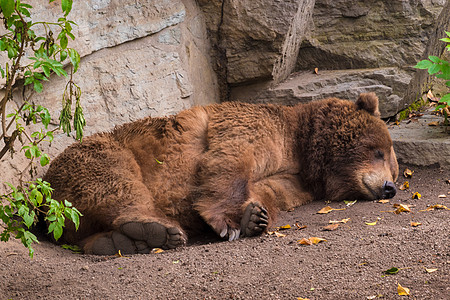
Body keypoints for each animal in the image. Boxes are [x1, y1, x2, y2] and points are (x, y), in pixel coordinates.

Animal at [44, 92, 400, 254]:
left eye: (394, 170)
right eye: (378, 150)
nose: (389, 187)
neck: (302, 147)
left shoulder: (294, 178)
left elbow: (270, 191)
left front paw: (254, 216)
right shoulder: (249, 126)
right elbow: (230, 159)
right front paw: (228, 223)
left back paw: (119, 242)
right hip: (101, 152)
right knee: (115, 181)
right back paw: (156, 229)